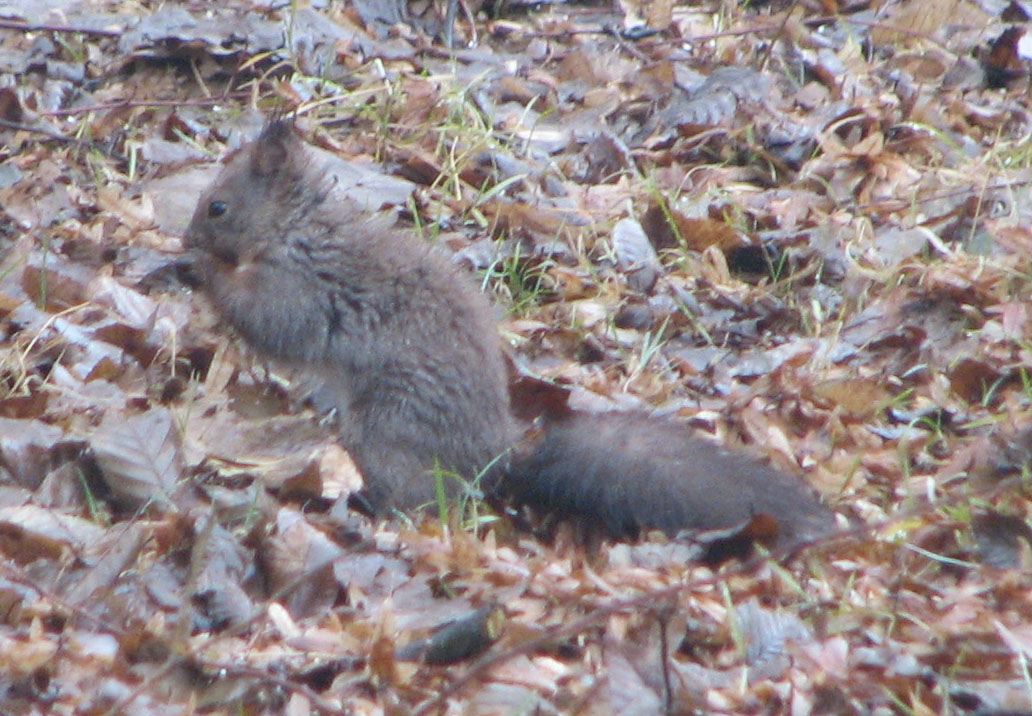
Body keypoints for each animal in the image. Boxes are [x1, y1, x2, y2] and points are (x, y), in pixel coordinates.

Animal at [181, 120, 833, 552]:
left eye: (217, 207)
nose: (188, 238)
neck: (294, 228)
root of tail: (494, 452)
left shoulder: (301, 286)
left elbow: (270, 322)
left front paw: (199, 270)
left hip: (388, 429)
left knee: (425, 497)